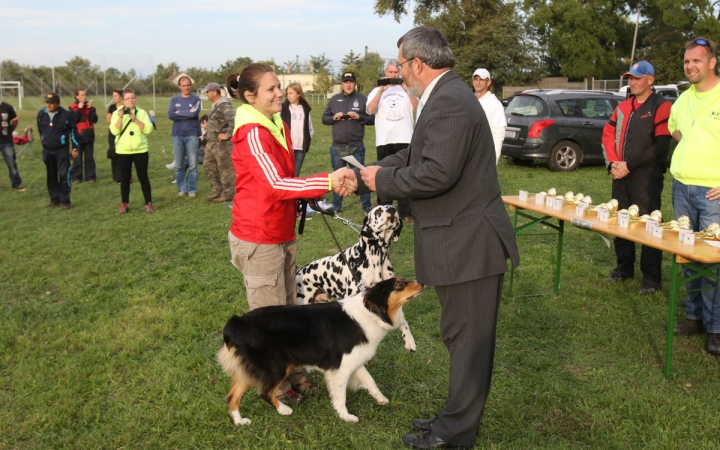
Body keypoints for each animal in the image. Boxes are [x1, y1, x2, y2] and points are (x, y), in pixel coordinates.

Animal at [294, 205, 416, 352]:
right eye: (378, 211)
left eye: (394, 208)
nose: (392, 210)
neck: (377, 257)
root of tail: (298, 272)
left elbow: (403, 320)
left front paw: (409, 340)